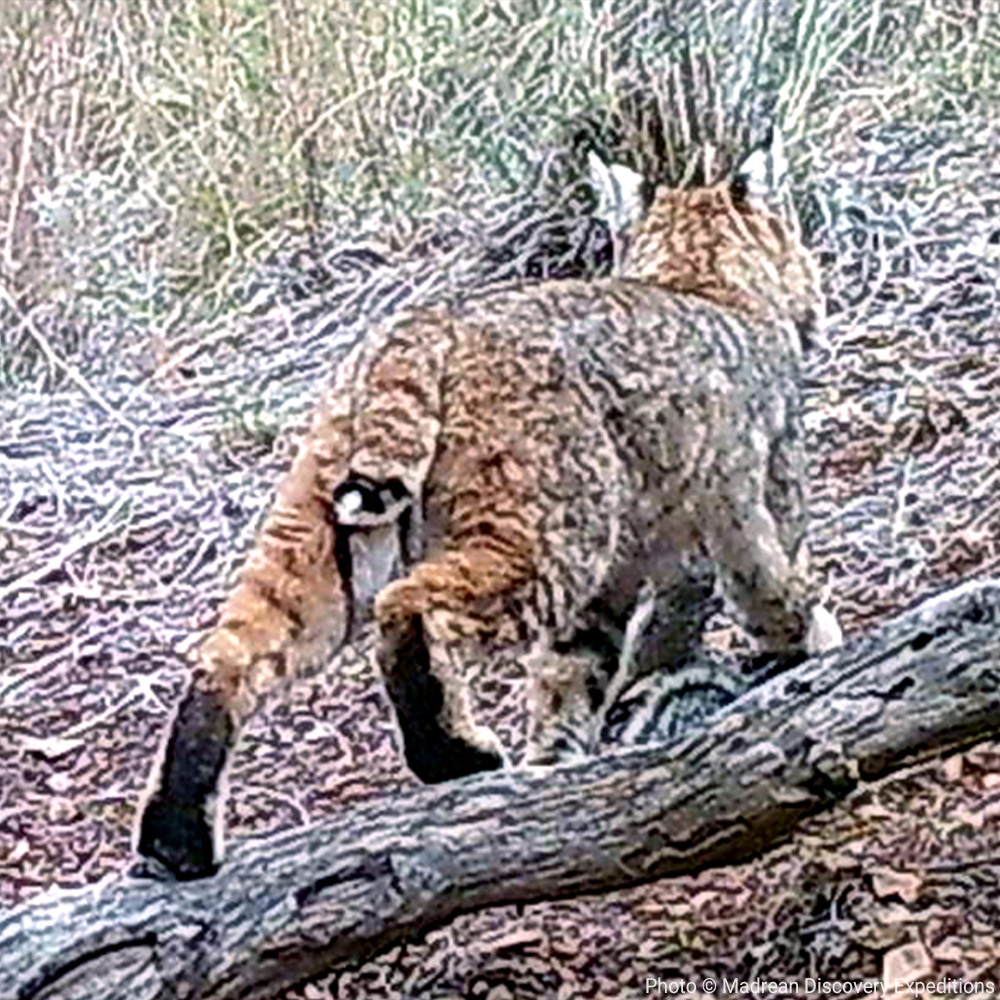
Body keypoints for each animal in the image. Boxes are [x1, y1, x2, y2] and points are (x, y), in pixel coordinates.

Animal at [135, 131, 841, 880]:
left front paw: (558, 763)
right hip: (551, 532)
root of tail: (419, 322)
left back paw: (175, 841)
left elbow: (573, 673)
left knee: (226, 659)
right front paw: (816, 652)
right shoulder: (747, 515)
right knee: (410, 605)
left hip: (320, 534)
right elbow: (779, 595)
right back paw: (456, 755)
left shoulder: (620, 581)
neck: (699, 275)